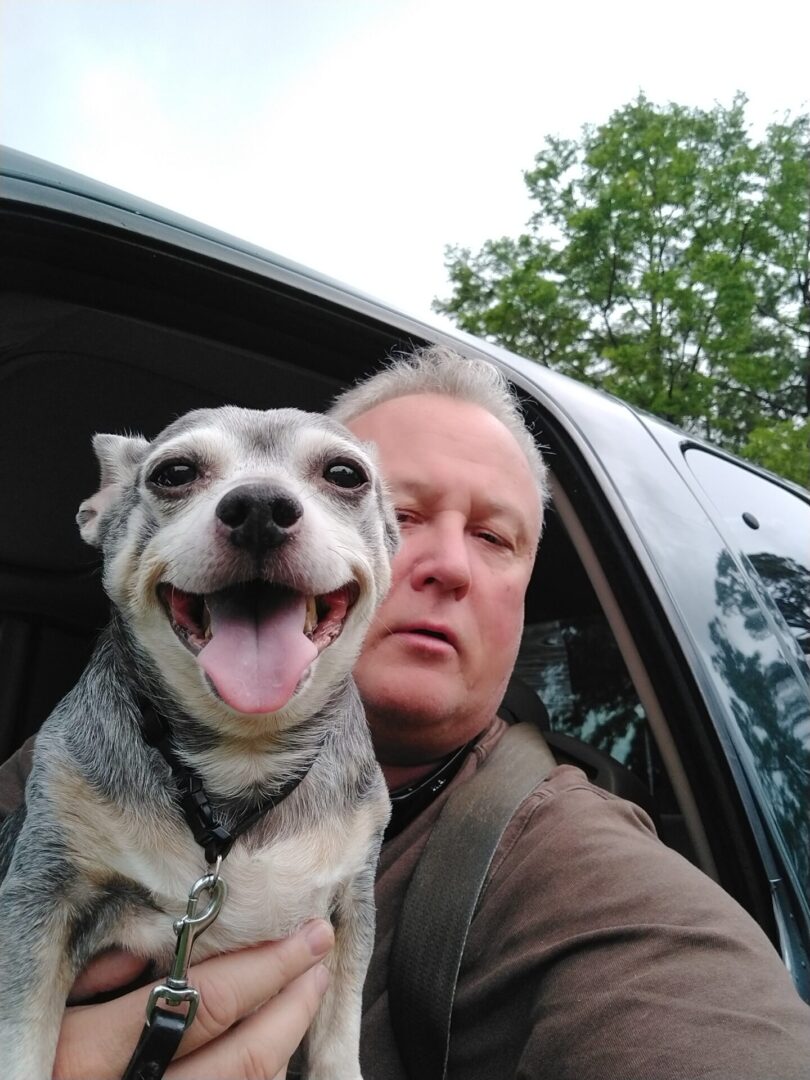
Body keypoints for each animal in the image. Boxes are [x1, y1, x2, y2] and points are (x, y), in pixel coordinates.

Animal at [0, 406, 397, 1080]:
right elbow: (21, 1040)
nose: (260, 506)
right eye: (175, 473)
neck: (240, 755)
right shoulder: (42, 894)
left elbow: (336, 1040)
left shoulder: (350, 907)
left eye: (346, 474)